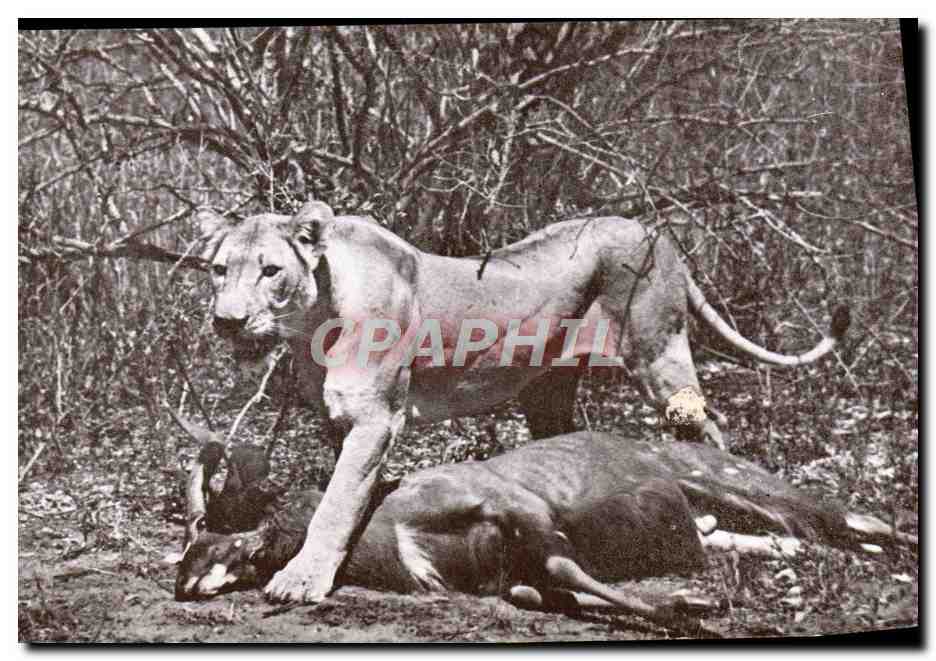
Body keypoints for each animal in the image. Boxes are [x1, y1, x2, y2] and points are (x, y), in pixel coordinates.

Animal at [196, 200, 848, 603]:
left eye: (271, 271)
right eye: (218, 269)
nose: (226, 321)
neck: (310, 324)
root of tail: (654, 231)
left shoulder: (378, 420)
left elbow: (335, 505)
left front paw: (302, 579)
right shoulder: (340, 423)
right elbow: (341, 495)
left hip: (658, 355)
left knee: (706, 431)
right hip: (549, 391)